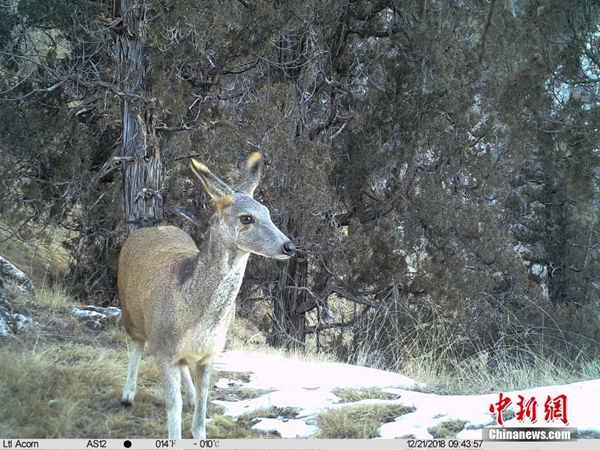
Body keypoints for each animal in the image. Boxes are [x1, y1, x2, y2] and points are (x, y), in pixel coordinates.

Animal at [117, 153, 296, 438]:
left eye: (268, 213)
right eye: (246, 218)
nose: (289, 246)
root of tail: (147, 228)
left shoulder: (211, 353)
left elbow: (204, 402)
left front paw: (199, 430)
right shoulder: (162, 348)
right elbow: (173, 405)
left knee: (183, 370)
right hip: (129, 312)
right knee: (135, 345)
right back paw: (127, 396)